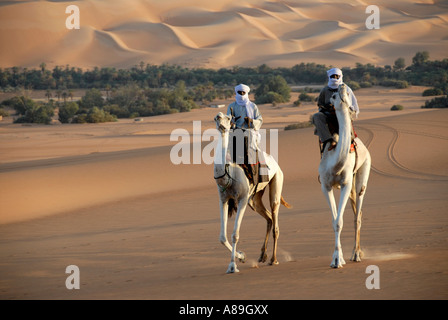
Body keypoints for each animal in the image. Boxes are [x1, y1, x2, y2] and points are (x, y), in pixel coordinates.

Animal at [214, 112, 290, 272]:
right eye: (215, 118)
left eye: (228, 118)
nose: (220, 119)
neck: (228, 173)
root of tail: (275, 162)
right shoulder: (223, 199)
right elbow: (222, 237)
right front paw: (242, 256)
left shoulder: (242, 199)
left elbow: (235, 234)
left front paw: (232, 266)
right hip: (254, 199)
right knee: (268, 218)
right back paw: (262, 256)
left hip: (277, 179)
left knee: (275, 218)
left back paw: (273, 259)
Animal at [318, 84, 372, 268]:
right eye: (333, 96)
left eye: (348, 93)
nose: (341, 86)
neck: (335, 163)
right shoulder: (326, 186)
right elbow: (335, 221)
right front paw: (336, 259)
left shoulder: (346, 184)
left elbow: (339, 222)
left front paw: (337, 259)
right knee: (356, 210)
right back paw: (356, 252)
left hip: (363, 170)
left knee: (358, 215)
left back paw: (356, 254)